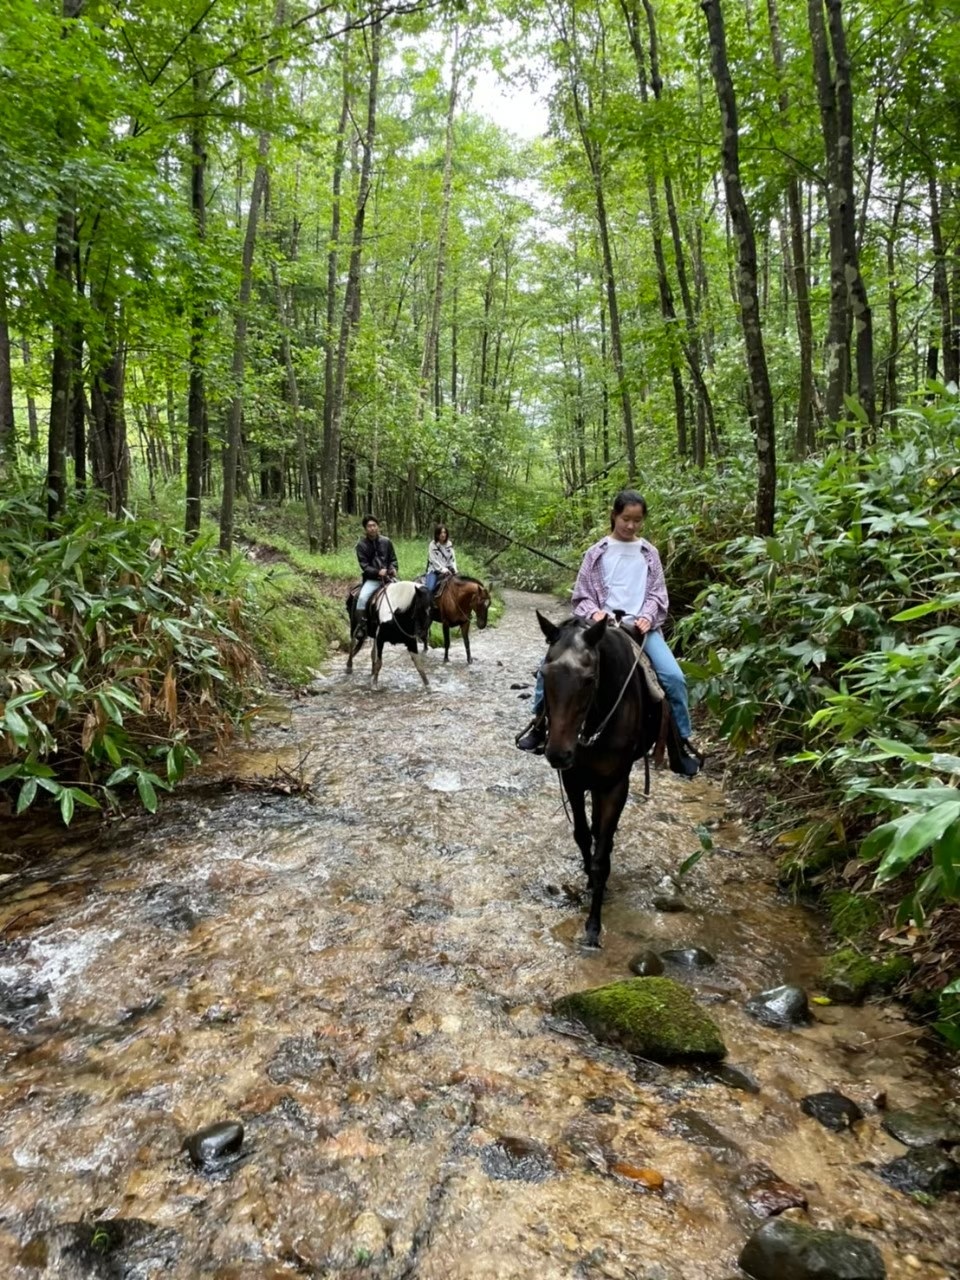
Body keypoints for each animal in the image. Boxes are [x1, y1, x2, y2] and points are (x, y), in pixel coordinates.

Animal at [537, 609, 665, 952]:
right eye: (544, 674)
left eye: (589, 680)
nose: (558, 754)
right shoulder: (573, 779)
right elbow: (583, 836)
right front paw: (588, 882)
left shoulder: (615, 785)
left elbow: (601, 859)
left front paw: (593, 927)